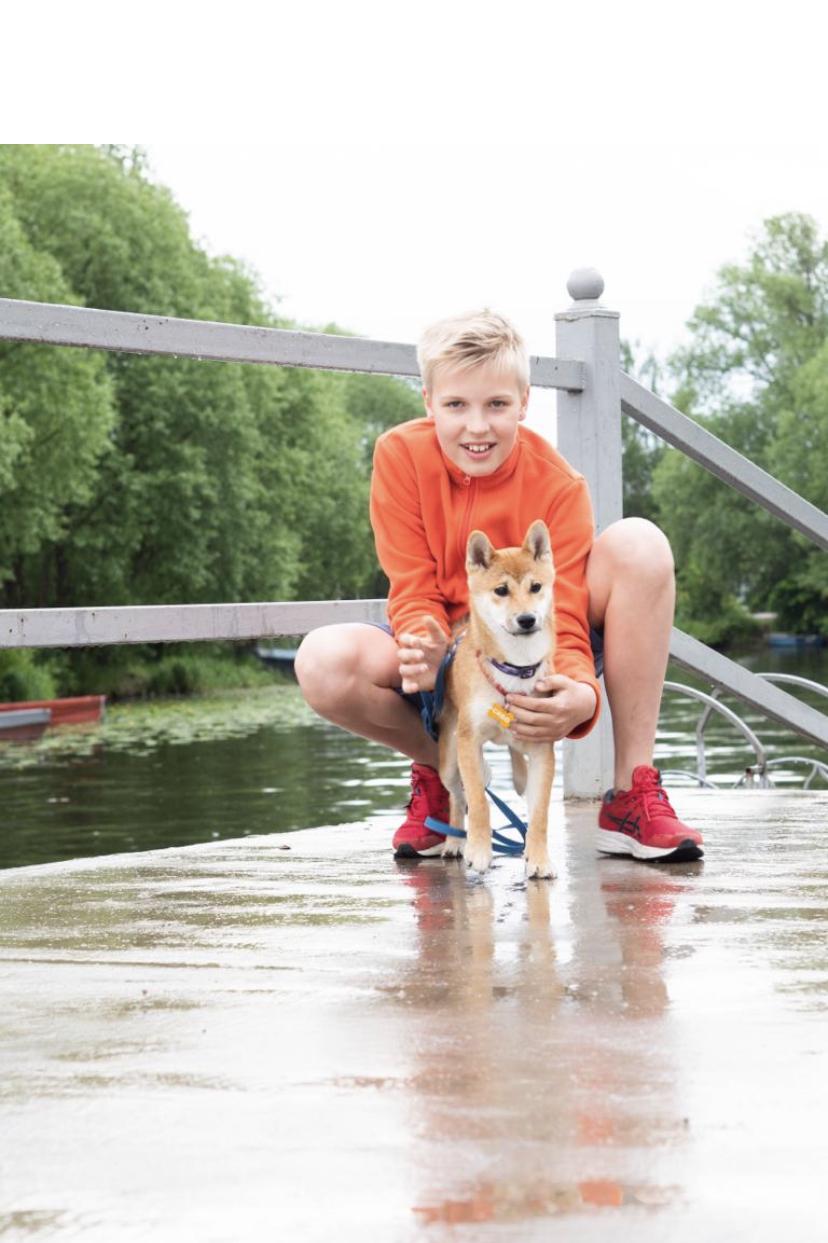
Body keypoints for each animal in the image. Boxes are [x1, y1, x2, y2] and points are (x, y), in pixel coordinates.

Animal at [438, 519, 557, 879]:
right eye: (501, 590)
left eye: (536, 587)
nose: (527, 619)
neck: (515, 671)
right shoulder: (468, 742)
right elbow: (478, 802)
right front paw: (478, 850)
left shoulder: (543, 749)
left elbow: (540, 814)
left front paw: (538, 858)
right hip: (449, 759)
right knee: (455, 797)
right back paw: (454, 843)